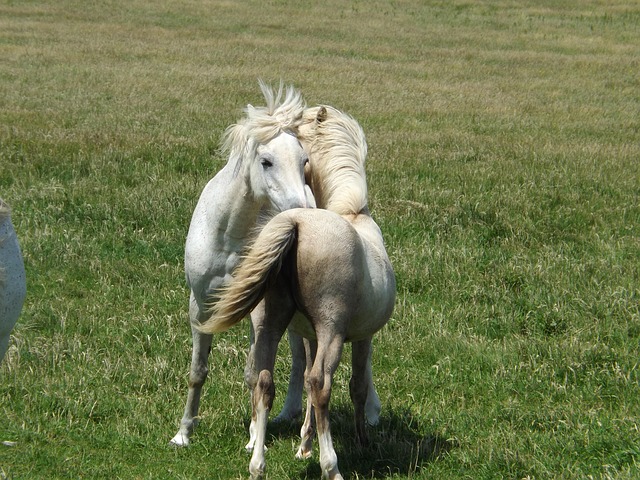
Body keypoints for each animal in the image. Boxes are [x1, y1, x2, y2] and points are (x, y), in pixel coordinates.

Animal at [170, 81, 315, 447]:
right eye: (266, 161)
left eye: (304, 160)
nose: (302, 210)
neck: (229, 236)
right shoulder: (200, 305)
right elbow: (197, 370)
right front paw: (183, 433)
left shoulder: (256, 309)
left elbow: (253, 372)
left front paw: (253, 436)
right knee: (298, 356)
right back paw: (287, 414)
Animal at [198, 105, 396, 480]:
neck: (352, 212)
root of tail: (296, 223)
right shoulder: (360, 336)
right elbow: (356, 386)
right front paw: (361, 441)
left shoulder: (308, 335)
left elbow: (302, 381)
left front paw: (304, 444)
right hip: (332, 332)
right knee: (321, 383)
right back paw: (331, 466)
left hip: (271, 325)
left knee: (264, 381)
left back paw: (258, 463)